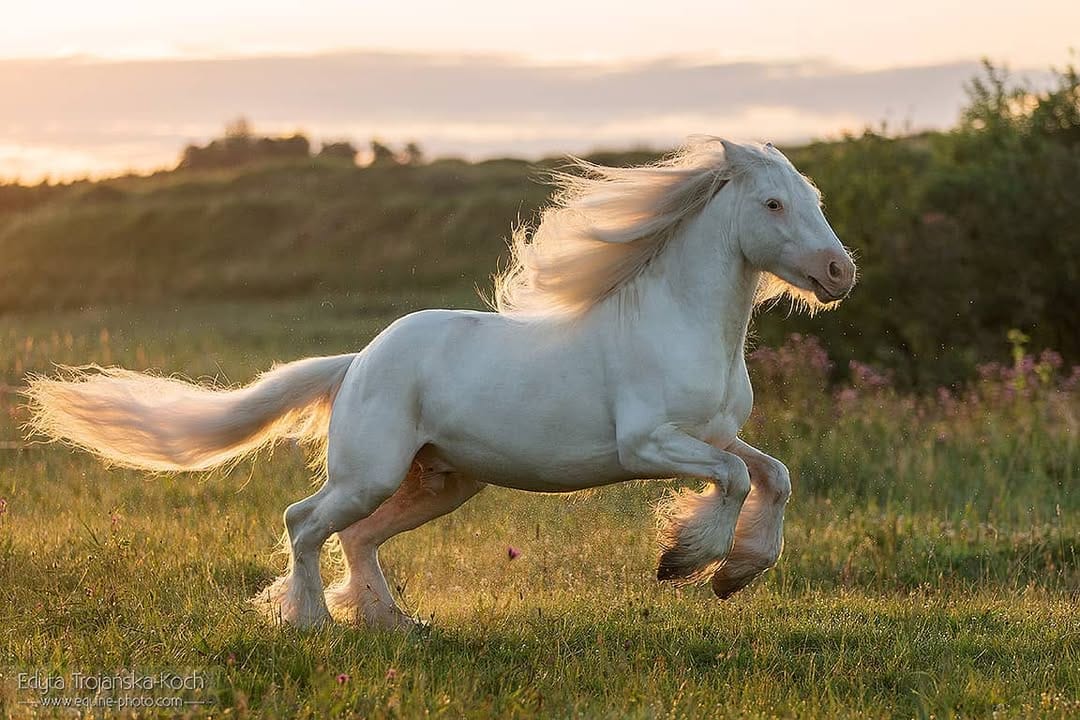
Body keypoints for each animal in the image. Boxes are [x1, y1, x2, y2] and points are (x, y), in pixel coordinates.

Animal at [25, 137, 856, 629]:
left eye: (814, 197)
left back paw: (396, 625)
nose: (839, 272)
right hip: (372, 472)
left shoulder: (716, 435)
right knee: (305, 522)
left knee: (355, 538)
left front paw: (735, 573)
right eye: (773, 203)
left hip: (443, 483)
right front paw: (685, 562)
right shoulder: (649, 443)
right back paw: (312, 624)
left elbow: (771, 475)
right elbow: (734, 482)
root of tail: (357, 361)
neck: (680, 324)